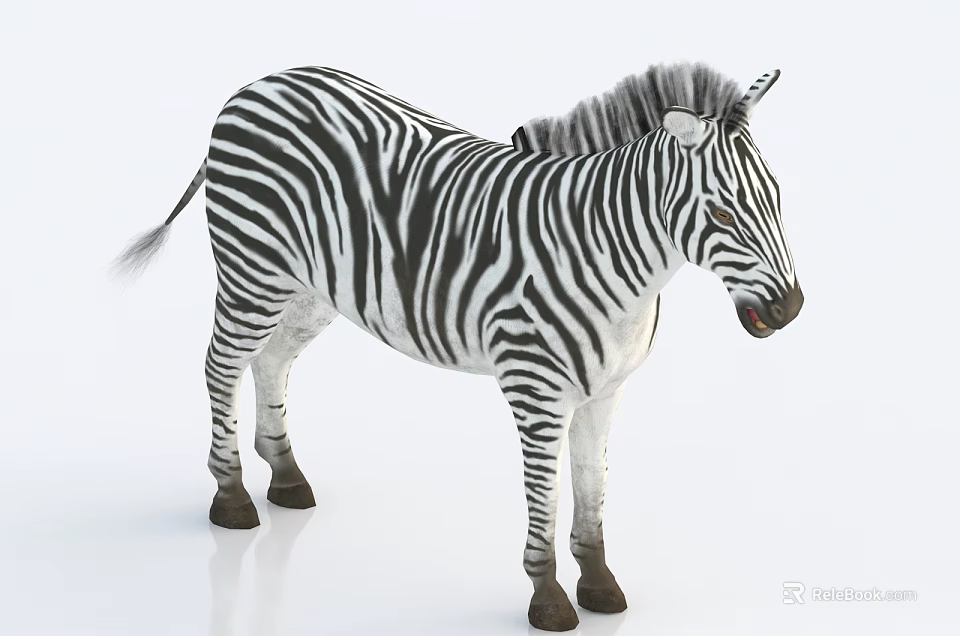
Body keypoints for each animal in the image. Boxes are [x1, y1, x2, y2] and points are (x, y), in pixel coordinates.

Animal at [111, 61, 803, 632]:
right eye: (721, 215)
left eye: (776, 195)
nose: (790, 309)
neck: (611, 258)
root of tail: (254, 86)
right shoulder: (535, 392)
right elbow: (546, 494)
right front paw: (549, 601)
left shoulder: (605, 393)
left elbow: (592, 488)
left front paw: (601, 587)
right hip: (253, 270)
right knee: (220, 365)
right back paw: (230, 497)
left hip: (312, 289)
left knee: (272, 361)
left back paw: (284, 478)